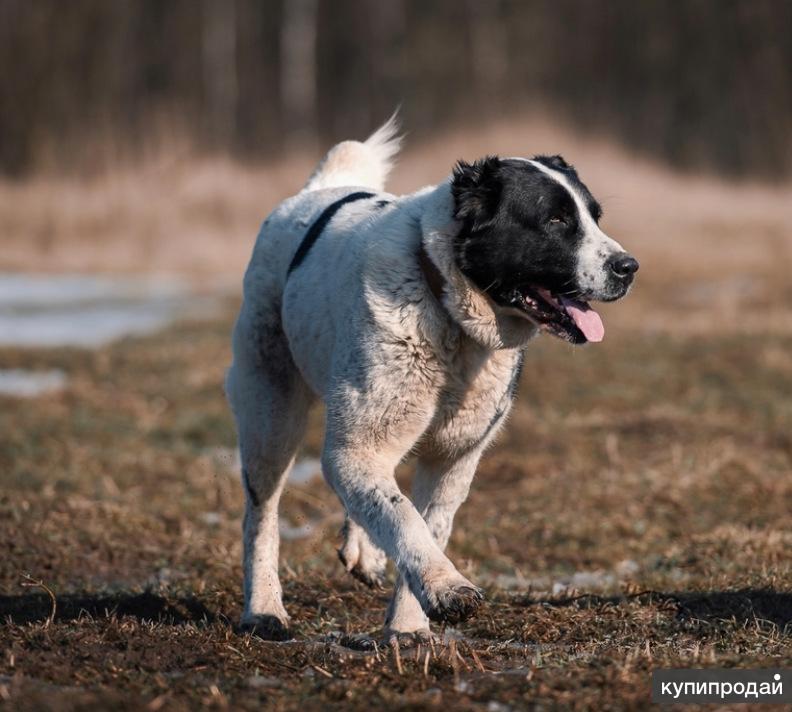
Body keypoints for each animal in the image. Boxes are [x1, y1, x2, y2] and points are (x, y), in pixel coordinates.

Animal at [223, 115, 636, 640]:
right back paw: (264, 608)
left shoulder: (454, 458)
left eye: (595, 216)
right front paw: (447, 589)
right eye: (556, 221)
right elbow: (404, 519)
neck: (450, 318)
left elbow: (423, 522)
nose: (629, 267)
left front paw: (408, 625)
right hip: (270, 412)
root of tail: (319, 189)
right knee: (263, 513)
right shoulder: (361, 444)